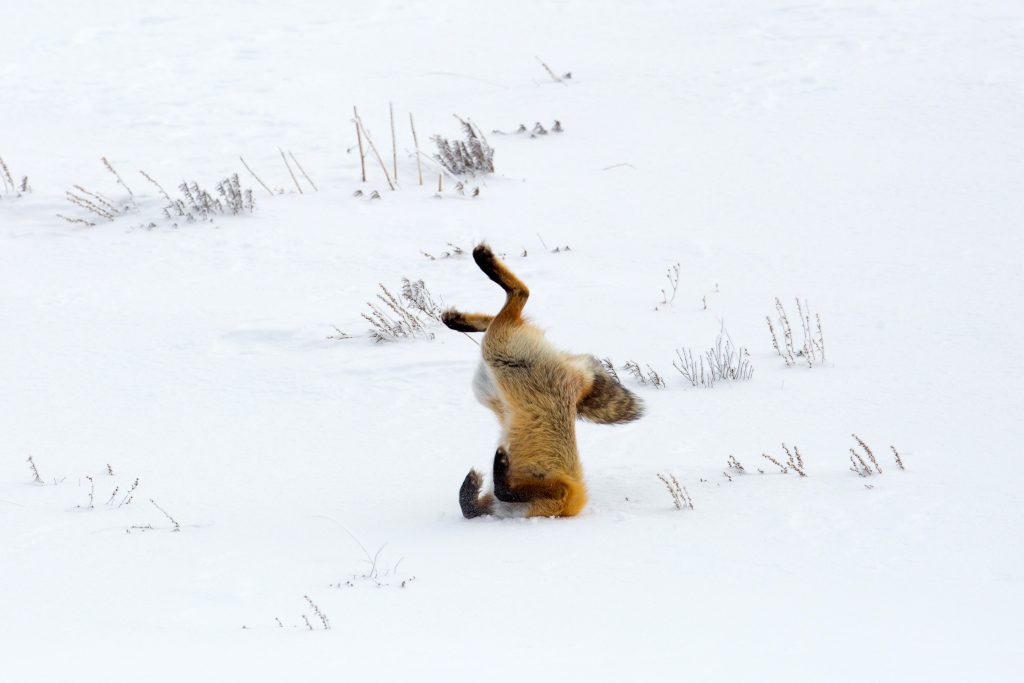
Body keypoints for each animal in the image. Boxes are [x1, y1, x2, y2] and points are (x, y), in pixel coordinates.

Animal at [442, 243, 644, 519]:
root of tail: (577, 379)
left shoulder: (560, 492)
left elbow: (492, 496)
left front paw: (491, 470)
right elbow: (474, 505)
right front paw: (480, 478)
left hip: (495, 360)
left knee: (518, 297)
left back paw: (480, 269)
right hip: (494, 368)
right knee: (511, 305)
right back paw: (460, 312)